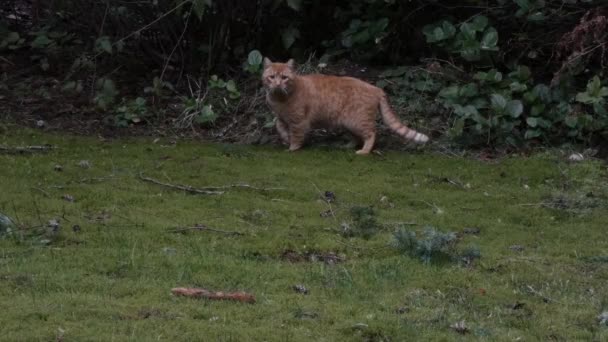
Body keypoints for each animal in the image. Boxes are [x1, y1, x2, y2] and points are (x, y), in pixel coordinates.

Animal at [262, 58, 428, 154]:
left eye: (284, 78)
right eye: (272, 77)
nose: (277, 84)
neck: (280, 99)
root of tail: (376, 88)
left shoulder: (299, 121)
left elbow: (296, 136)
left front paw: (293, 147)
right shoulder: (281, 118)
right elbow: (279, 127)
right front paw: (285, 138)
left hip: (358, 121)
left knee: (371, 134)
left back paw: (364, 151)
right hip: (347, 123)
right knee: (357, 138)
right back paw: (347, 146)